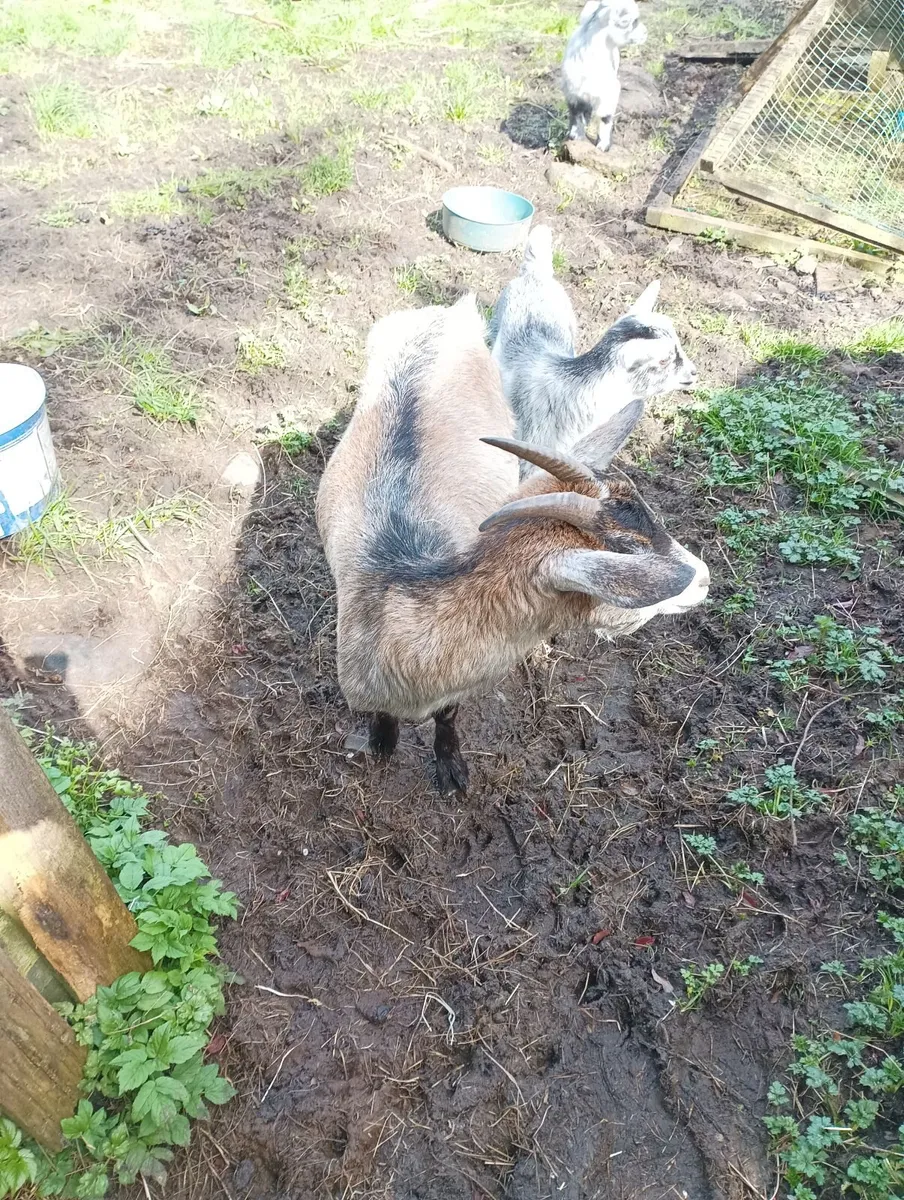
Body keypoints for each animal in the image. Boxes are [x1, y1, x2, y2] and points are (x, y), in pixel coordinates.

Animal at [316, 296, 709, 794]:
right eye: (623, 548)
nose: (704, 578)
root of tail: (450, 311)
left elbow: (448, 717)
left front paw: (451, 770)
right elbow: (382, 723)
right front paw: (382, 748)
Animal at [561, 0, 647, 148]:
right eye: (634, 21)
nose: (646, 33)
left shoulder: (609, 94)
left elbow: (605, 118)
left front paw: (603, 145)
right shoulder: (573, 92)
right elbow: (576, 114)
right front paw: (576, 136)